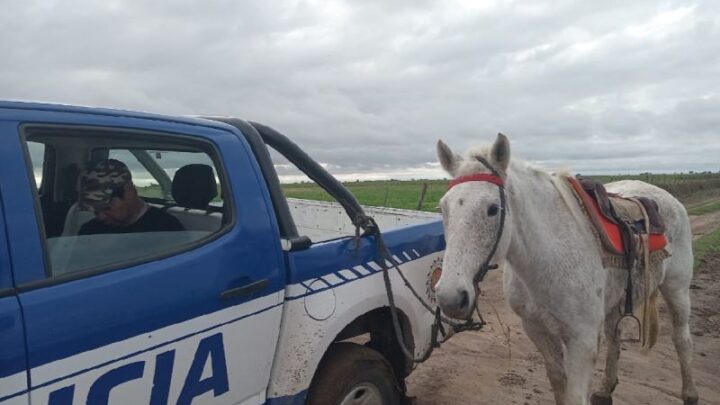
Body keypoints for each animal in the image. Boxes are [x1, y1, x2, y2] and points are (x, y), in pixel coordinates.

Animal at [434, 134, 698, 405]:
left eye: (493, 209)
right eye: (443, 208)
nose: (450, 297)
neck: (546, 261)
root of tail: (665, 196)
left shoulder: (582, 341)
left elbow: (574, 395)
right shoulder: (537, 330)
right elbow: (559, 384)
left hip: (676, 290)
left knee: (682, 339)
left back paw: (690, 393)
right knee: (615, 336)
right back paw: (605, 390)